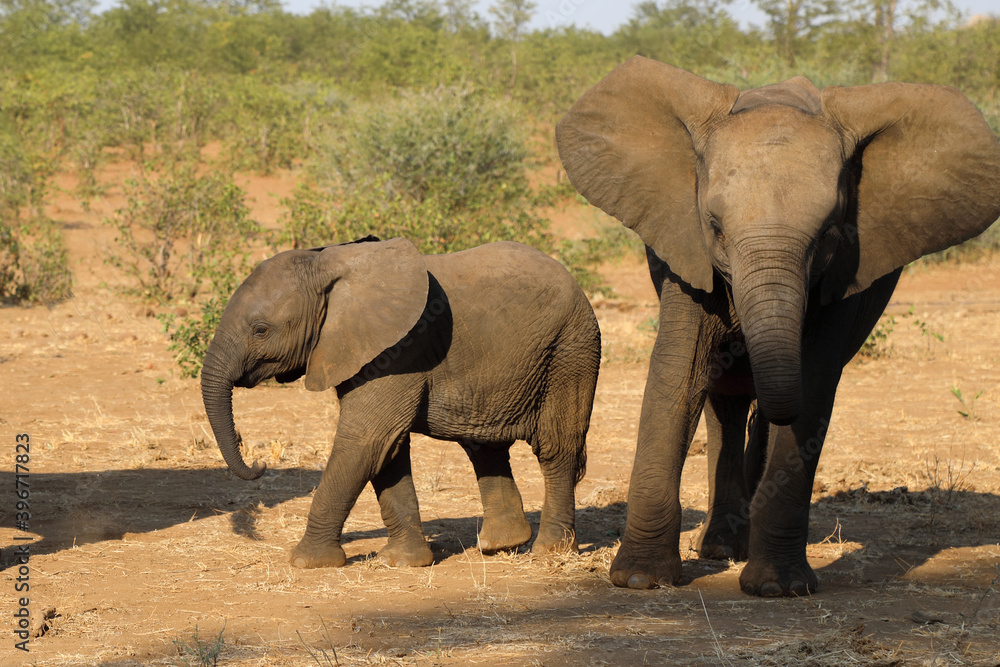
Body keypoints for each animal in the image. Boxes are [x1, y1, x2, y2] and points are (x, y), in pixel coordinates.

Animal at [200, 236, 601, 568]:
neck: (329, 264)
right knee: (484, 448)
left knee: (556, 449)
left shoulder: (400, 349)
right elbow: (387, 450)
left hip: (570, 350)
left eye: (260, 330)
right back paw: (498, 545)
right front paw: (403, 562)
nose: (259, 462)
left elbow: (366, 440)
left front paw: (305, 563)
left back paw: (549, 551)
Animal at [555, 56, 1000, 596]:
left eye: (829, 231)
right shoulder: (686, 248)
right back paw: (721, 547)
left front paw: (778, 588)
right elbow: (679, 372)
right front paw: (641, 580)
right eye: (714, 226)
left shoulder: (845, 271)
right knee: (724, 403)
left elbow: (812, 384)